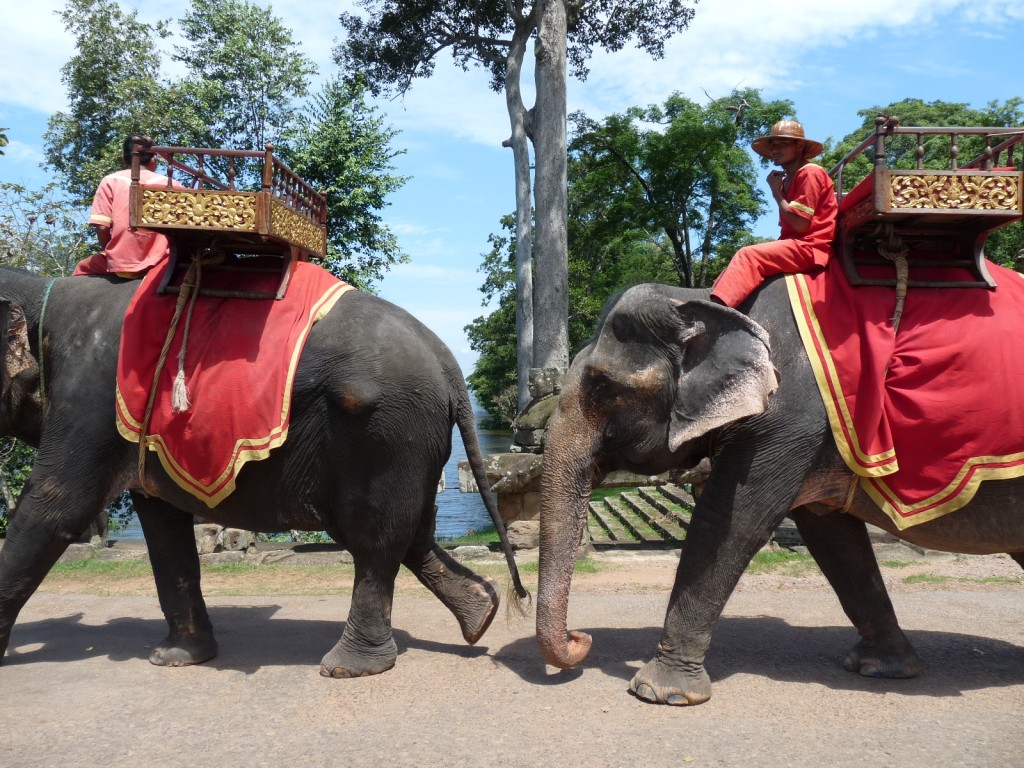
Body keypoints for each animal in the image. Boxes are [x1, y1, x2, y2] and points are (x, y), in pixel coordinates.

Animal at [0, 268, 528, 679]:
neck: (42, 290)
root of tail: (449, 363)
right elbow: (163, 524)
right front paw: (177, 659)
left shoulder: (88, 394)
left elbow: (55, 507)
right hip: (405, 441)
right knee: (406, 532)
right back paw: (481, 614)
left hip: (387, 433)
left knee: (373, 537)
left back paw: (349, 667)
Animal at [536, 280, 1024, 708]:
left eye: (603, 385)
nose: (582, 637)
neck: (700, 298)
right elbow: (831, 535)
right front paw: (881, 668)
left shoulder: (787, 417)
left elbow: (732, 522)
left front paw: (661, 692)